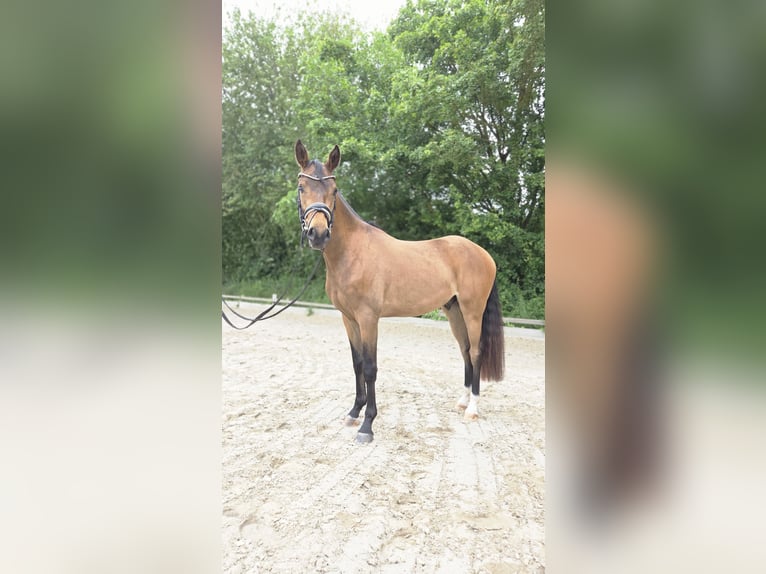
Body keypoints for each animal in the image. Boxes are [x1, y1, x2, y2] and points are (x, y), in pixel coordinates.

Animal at [294, 140, 505, 443]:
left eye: (334, 190)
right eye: (301, 187)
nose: (318, 234)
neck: (351, 252)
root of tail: (483, 253)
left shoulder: (368, 318)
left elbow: (370, 368)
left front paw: (367, 425)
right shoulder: (349, 318)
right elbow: (357, 363)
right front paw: (353, 412)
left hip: (472, 310)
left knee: (475, 351)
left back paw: (473, 409)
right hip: (454, 311)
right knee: (465, 350)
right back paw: (463, 401)